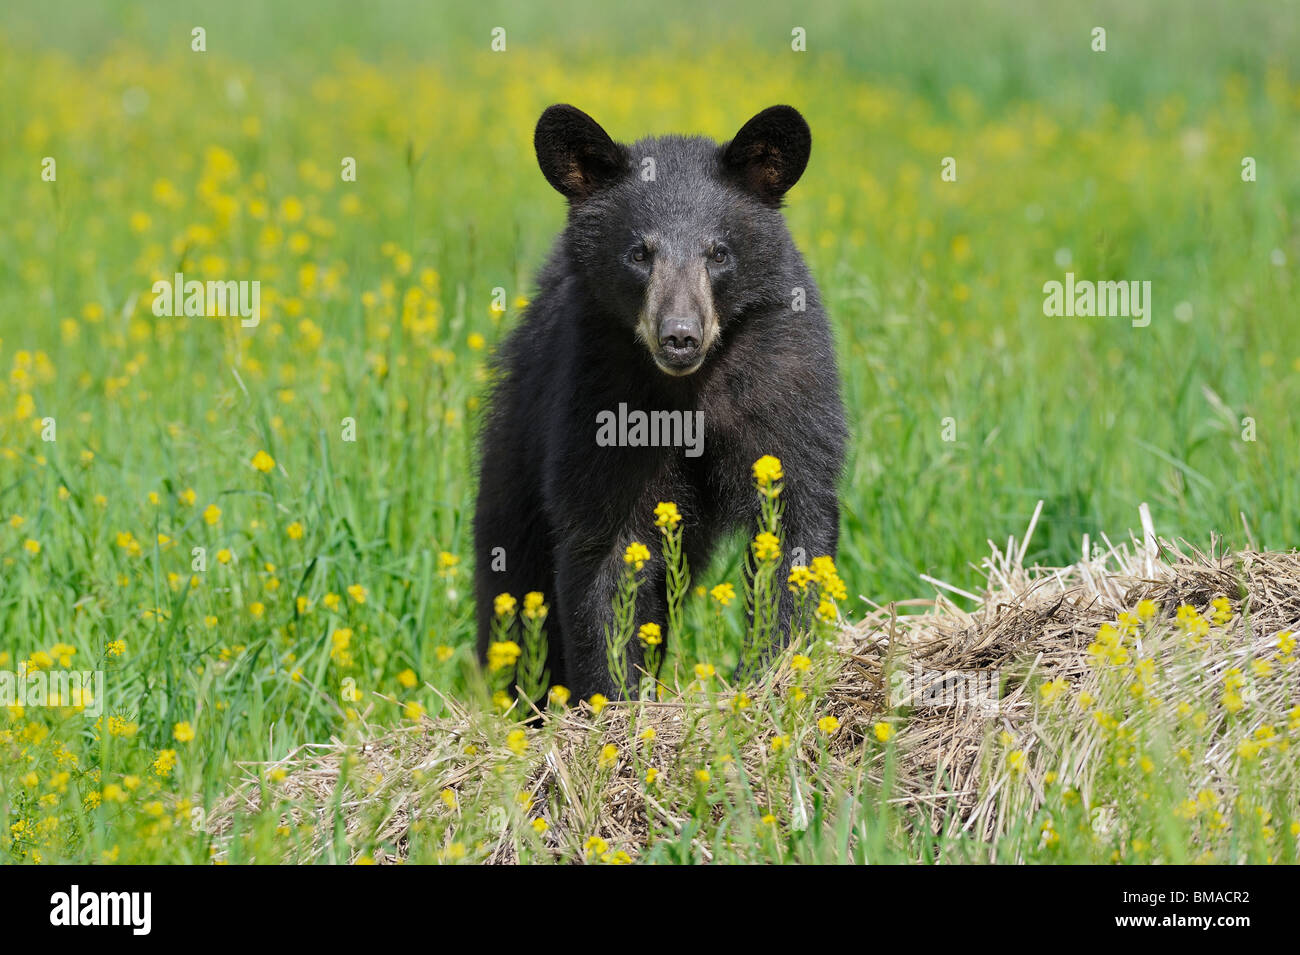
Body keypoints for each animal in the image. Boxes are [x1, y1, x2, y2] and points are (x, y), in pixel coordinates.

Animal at [473, 104, 847, 701]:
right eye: (638, 253)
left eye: (718, 252)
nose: (680, 336)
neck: (688, 392)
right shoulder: (598, 397)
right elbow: (605, 552)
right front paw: (615, 696)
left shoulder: (784, 383)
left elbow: (794, 517)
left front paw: (770, 669)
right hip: (514, 458)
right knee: (512, 580)